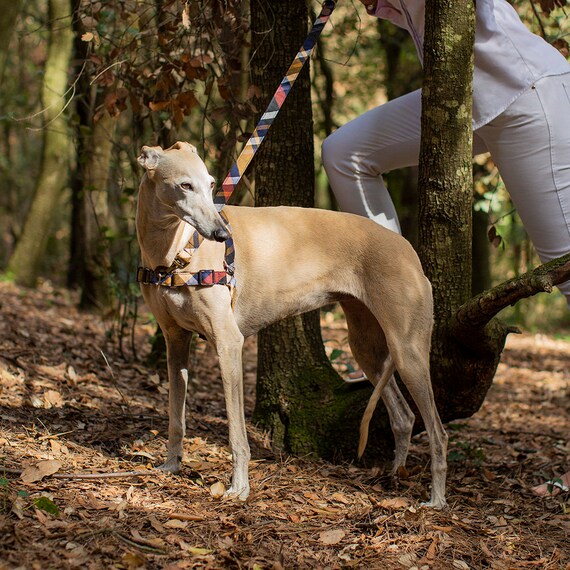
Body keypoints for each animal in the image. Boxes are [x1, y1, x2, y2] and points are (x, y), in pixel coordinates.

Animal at [135, 141, 446, 506]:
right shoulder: (175, 341)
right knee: (404, 417)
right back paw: (396, 474)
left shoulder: (228, 343)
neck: (176, 251)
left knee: (439, 432)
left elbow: (237, 434)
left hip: (408, 350)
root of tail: (408, 248)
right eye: (185, 185)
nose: (221, 234)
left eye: (211, 184)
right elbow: (176, 417)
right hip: (367, 349)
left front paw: (239, 487)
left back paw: (437, 499)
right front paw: (171, 465)